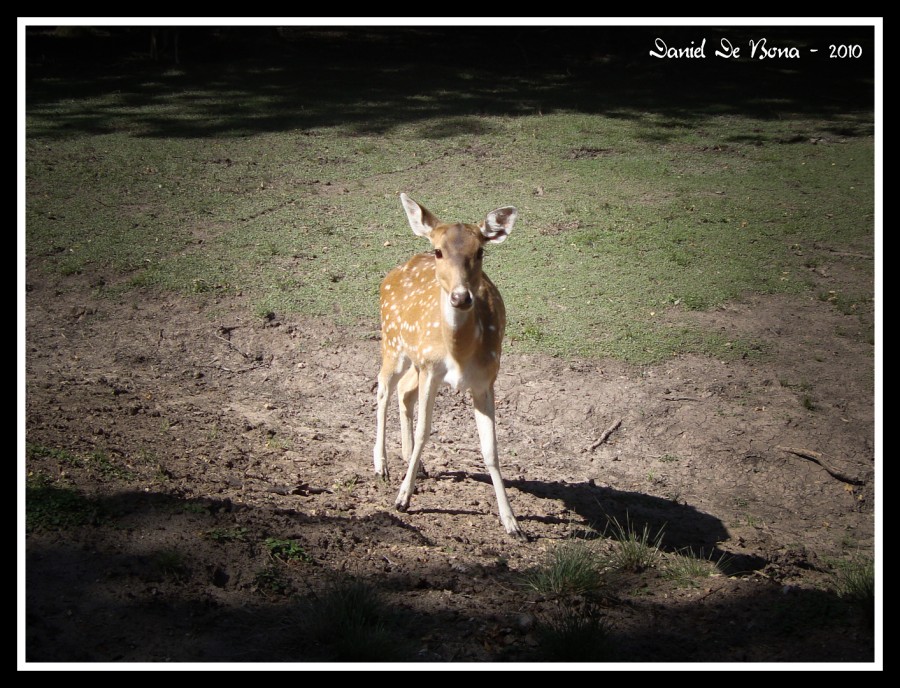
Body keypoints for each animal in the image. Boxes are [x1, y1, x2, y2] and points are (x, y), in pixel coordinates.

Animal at [372, 192, 524, 536]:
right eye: (438, 250)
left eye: (480, 250)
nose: (461, 297)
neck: (459, 353)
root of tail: (394, 271)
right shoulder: (432, 368)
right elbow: (425, 432)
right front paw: (402, 499)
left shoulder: (486, 379)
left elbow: (491, 449)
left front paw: (511, 522)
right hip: (393, 341)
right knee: (383, 388)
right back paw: (381, 465)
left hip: (414, 359)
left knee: (403, 391)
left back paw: (409, 461)